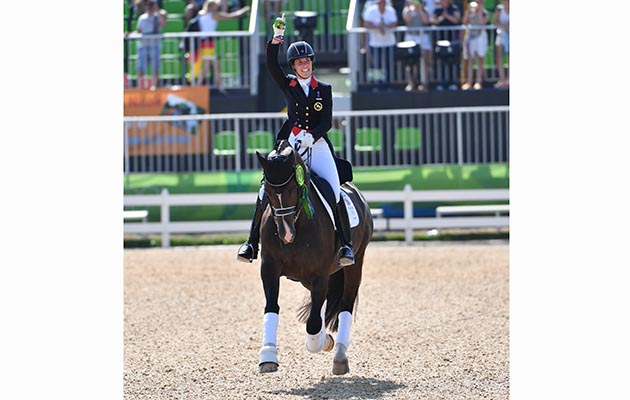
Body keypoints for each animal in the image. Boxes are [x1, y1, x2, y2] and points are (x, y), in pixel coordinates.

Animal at [256, 140, 376, 376]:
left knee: (345, 306)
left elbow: (312, 323)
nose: (285, 234)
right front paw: (268, 356)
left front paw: (321, 342)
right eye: (269, 192)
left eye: (294, 189)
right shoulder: (269, 269)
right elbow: (272, 308)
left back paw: (339, 355)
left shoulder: (319, 275)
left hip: (354, 265)